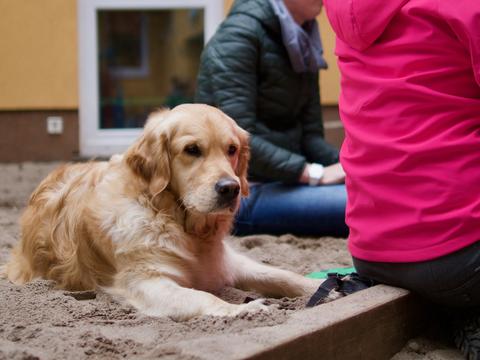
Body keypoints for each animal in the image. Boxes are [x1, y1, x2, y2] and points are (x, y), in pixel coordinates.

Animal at [3, 105, 320, 320]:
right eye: (192, 149)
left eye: (231, 149)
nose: (230, 188)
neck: (176, 221)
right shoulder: (145, 281)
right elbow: (203, 297)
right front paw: (244, 309)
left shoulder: (226, 262)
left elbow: (280, 275)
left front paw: (318, 285)